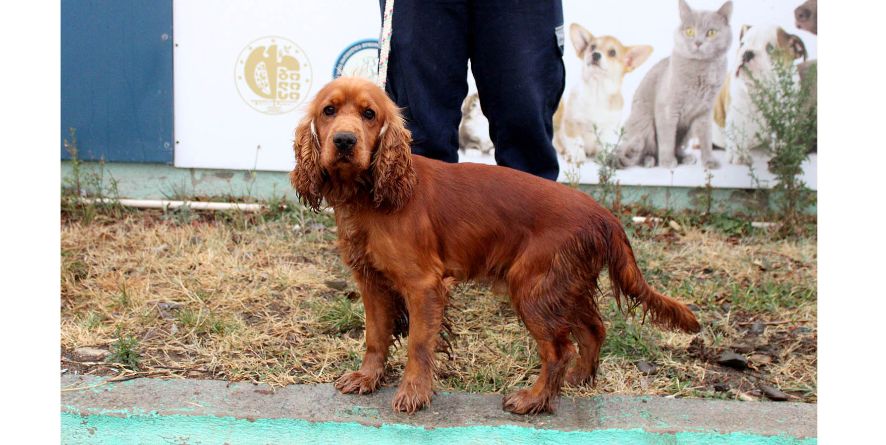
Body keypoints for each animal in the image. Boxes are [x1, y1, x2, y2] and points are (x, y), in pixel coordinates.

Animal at [616, 0, 736, 169]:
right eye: (689, 31)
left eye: (711, 32)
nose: (698, 42)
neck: (701, 72)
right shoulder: (668, 109)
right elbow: (667, 138)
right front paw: (667, 162)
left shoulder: (705, 112)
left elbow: (706, 139)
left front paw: (709, 161)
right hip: (643, 125)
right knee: (643, 151)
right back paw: (650, 160)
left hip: (687, 130)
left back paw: (684, 158)